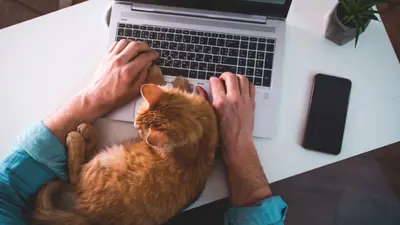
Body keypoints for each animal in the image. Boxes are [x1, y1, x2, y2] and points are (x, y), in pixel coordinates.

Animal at [30, 66, 219, 225]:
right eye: (137, 123)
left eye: (141, 130)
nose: (137, 129)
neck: (199, 135)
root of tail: (90, 216)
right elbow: (166, 85)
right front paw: (177, 80)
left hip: (106, 159)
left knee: (75, 173)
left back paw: (79, 135)